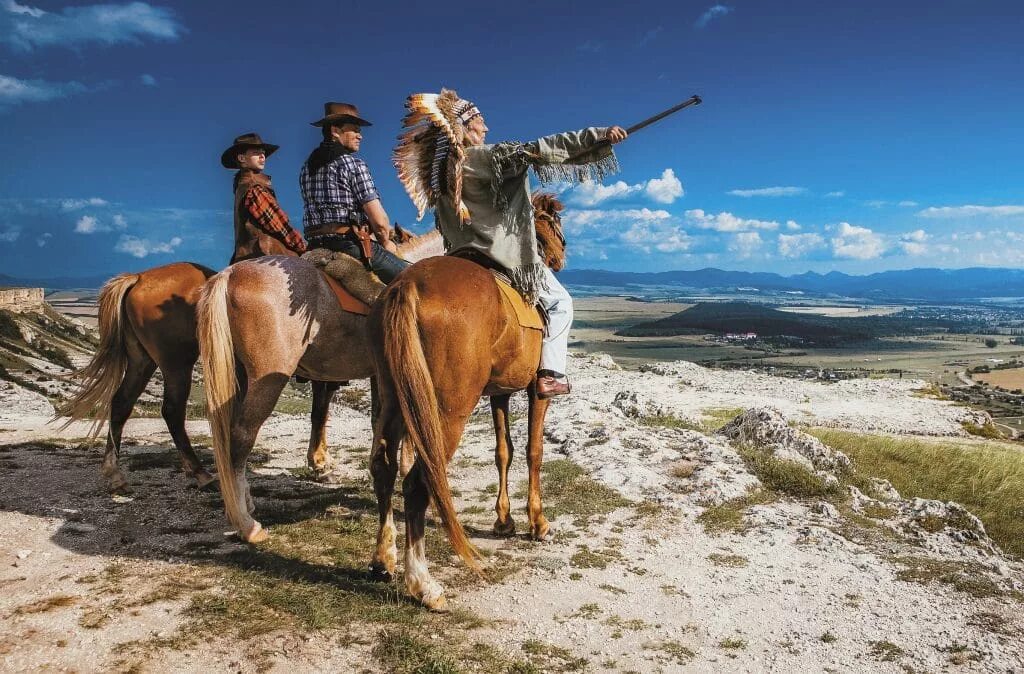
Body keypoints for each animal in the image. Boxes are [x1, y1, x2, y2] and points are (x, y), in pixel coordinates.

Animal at [366, 190, 569, 610]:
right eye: (555, 224)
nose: (561, 255)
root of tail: (407, 286)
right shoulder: (534, 390)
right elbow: (534, 451)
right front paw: (537, 522)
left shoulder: (499, 393)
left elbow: (503, 452)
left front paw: (504, 520)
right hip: (447, 411)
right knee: (418, 482)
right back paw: (423, 584)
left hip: (392, 397)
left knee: (383, 468)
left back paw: (382, 560)